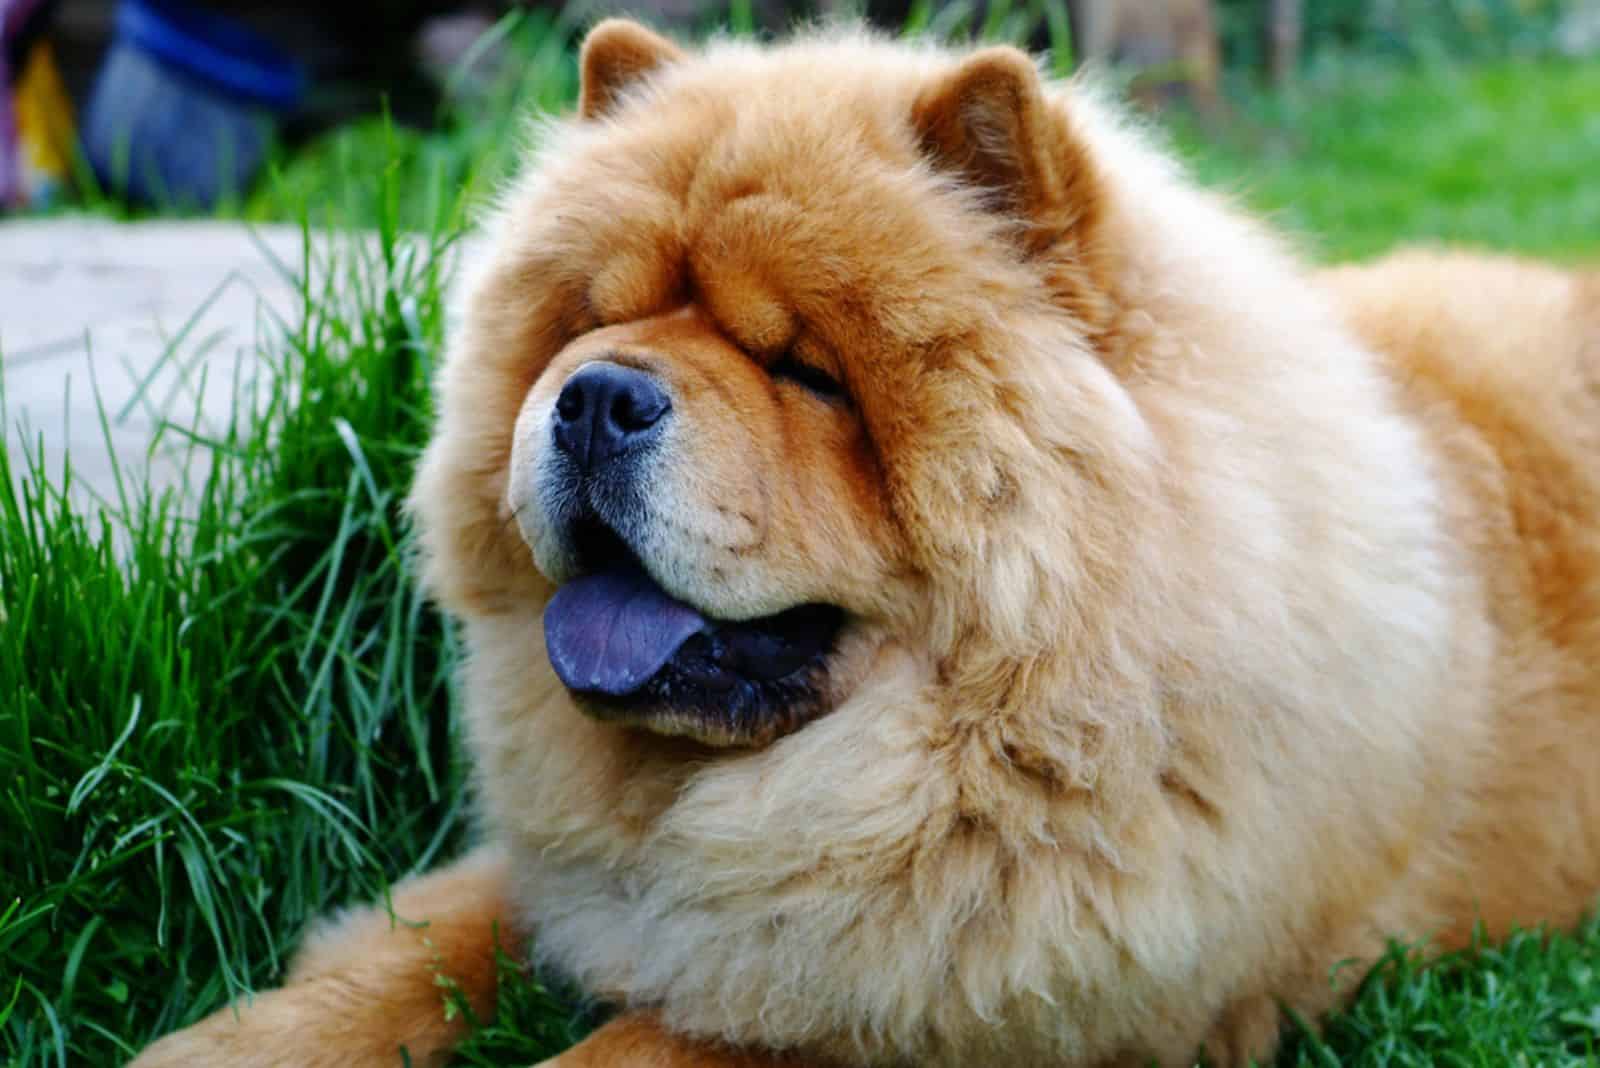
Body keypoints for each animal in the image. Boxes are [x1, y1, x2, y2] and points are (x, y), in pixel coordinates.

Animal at [128, 16, 1600, 1068]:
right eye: (589, 323)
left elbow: (653, 1043)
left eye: (809, 373)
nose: (594, 396)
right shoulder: (580, 878)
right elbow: (395, 956)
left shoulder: (956, 998)